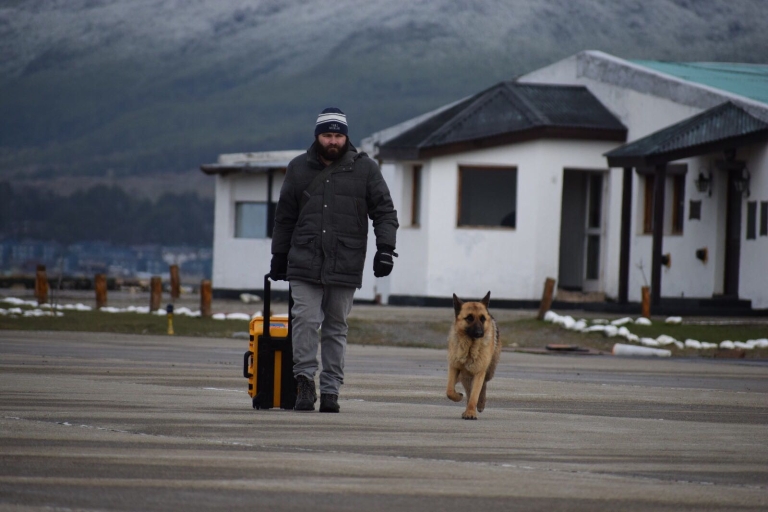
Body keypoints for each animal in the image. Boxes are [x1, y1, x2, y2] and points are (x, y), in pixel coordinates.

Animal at [448, 292, 500, 420]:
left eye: (482, 319)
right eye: (469, 318)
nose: (479, 333)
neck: (469, 348)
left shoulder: (479, 372)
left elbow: (475, 394)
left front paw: (471, 412)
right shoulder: (454, 367)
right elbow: (450, 391)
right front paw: (458, 397)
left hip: (488, 372)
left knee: (483, 385)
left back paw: (480, 404)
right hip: (465, 376)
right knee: (468, 390)